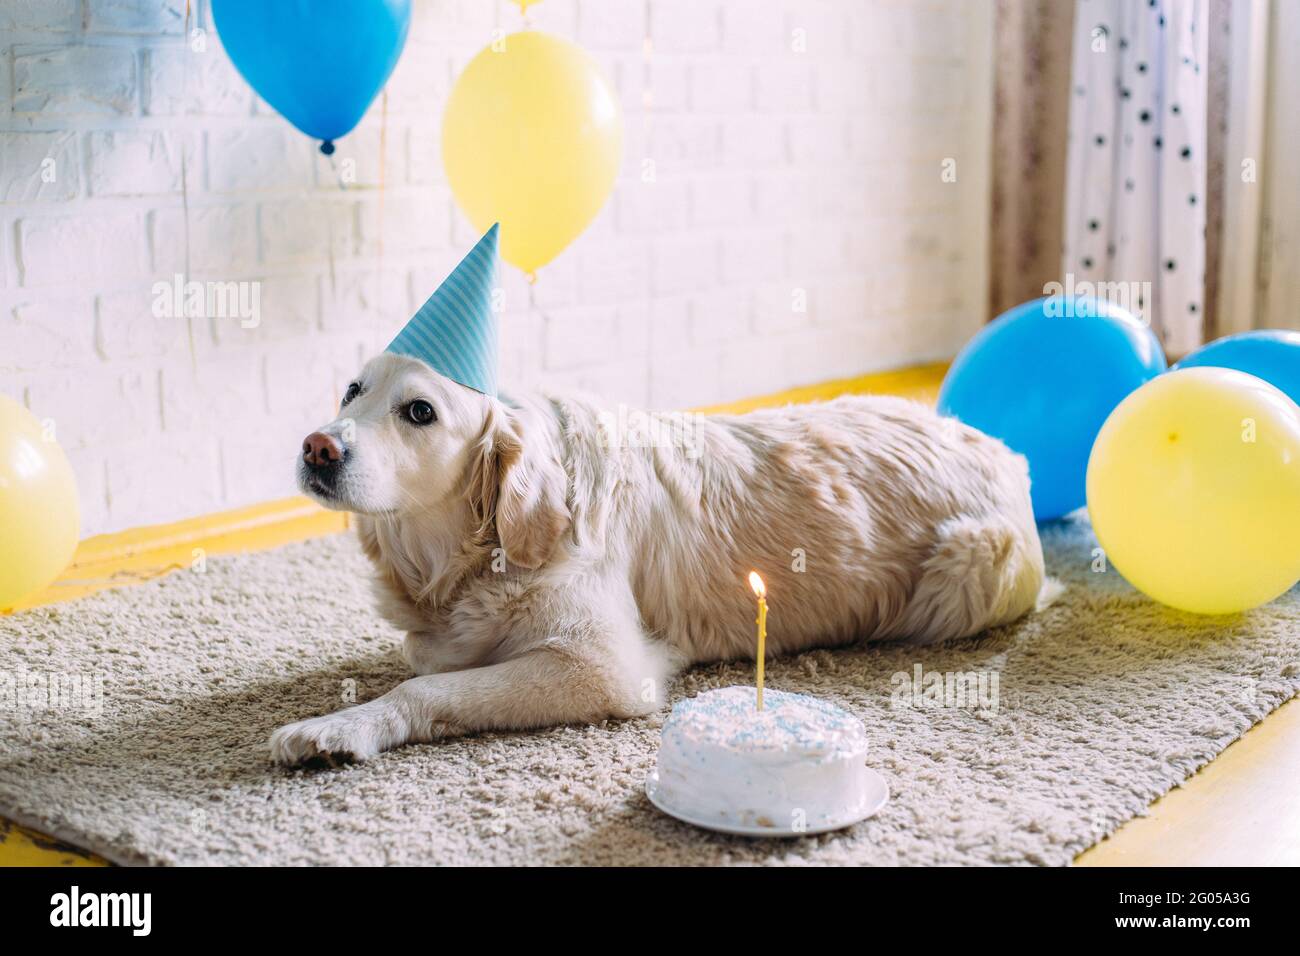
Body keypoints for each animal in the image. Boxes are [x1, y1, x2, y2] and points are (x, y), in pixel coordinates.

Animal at [271, 356, 1045, 764]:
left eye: (420, 412)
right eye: (352, 390)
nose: (316, 447)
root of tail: (1006, 450)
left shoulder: (603, 666)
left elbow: (426, 688)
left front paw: (338, 727)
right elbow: (428, 659)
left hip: (965, 574)